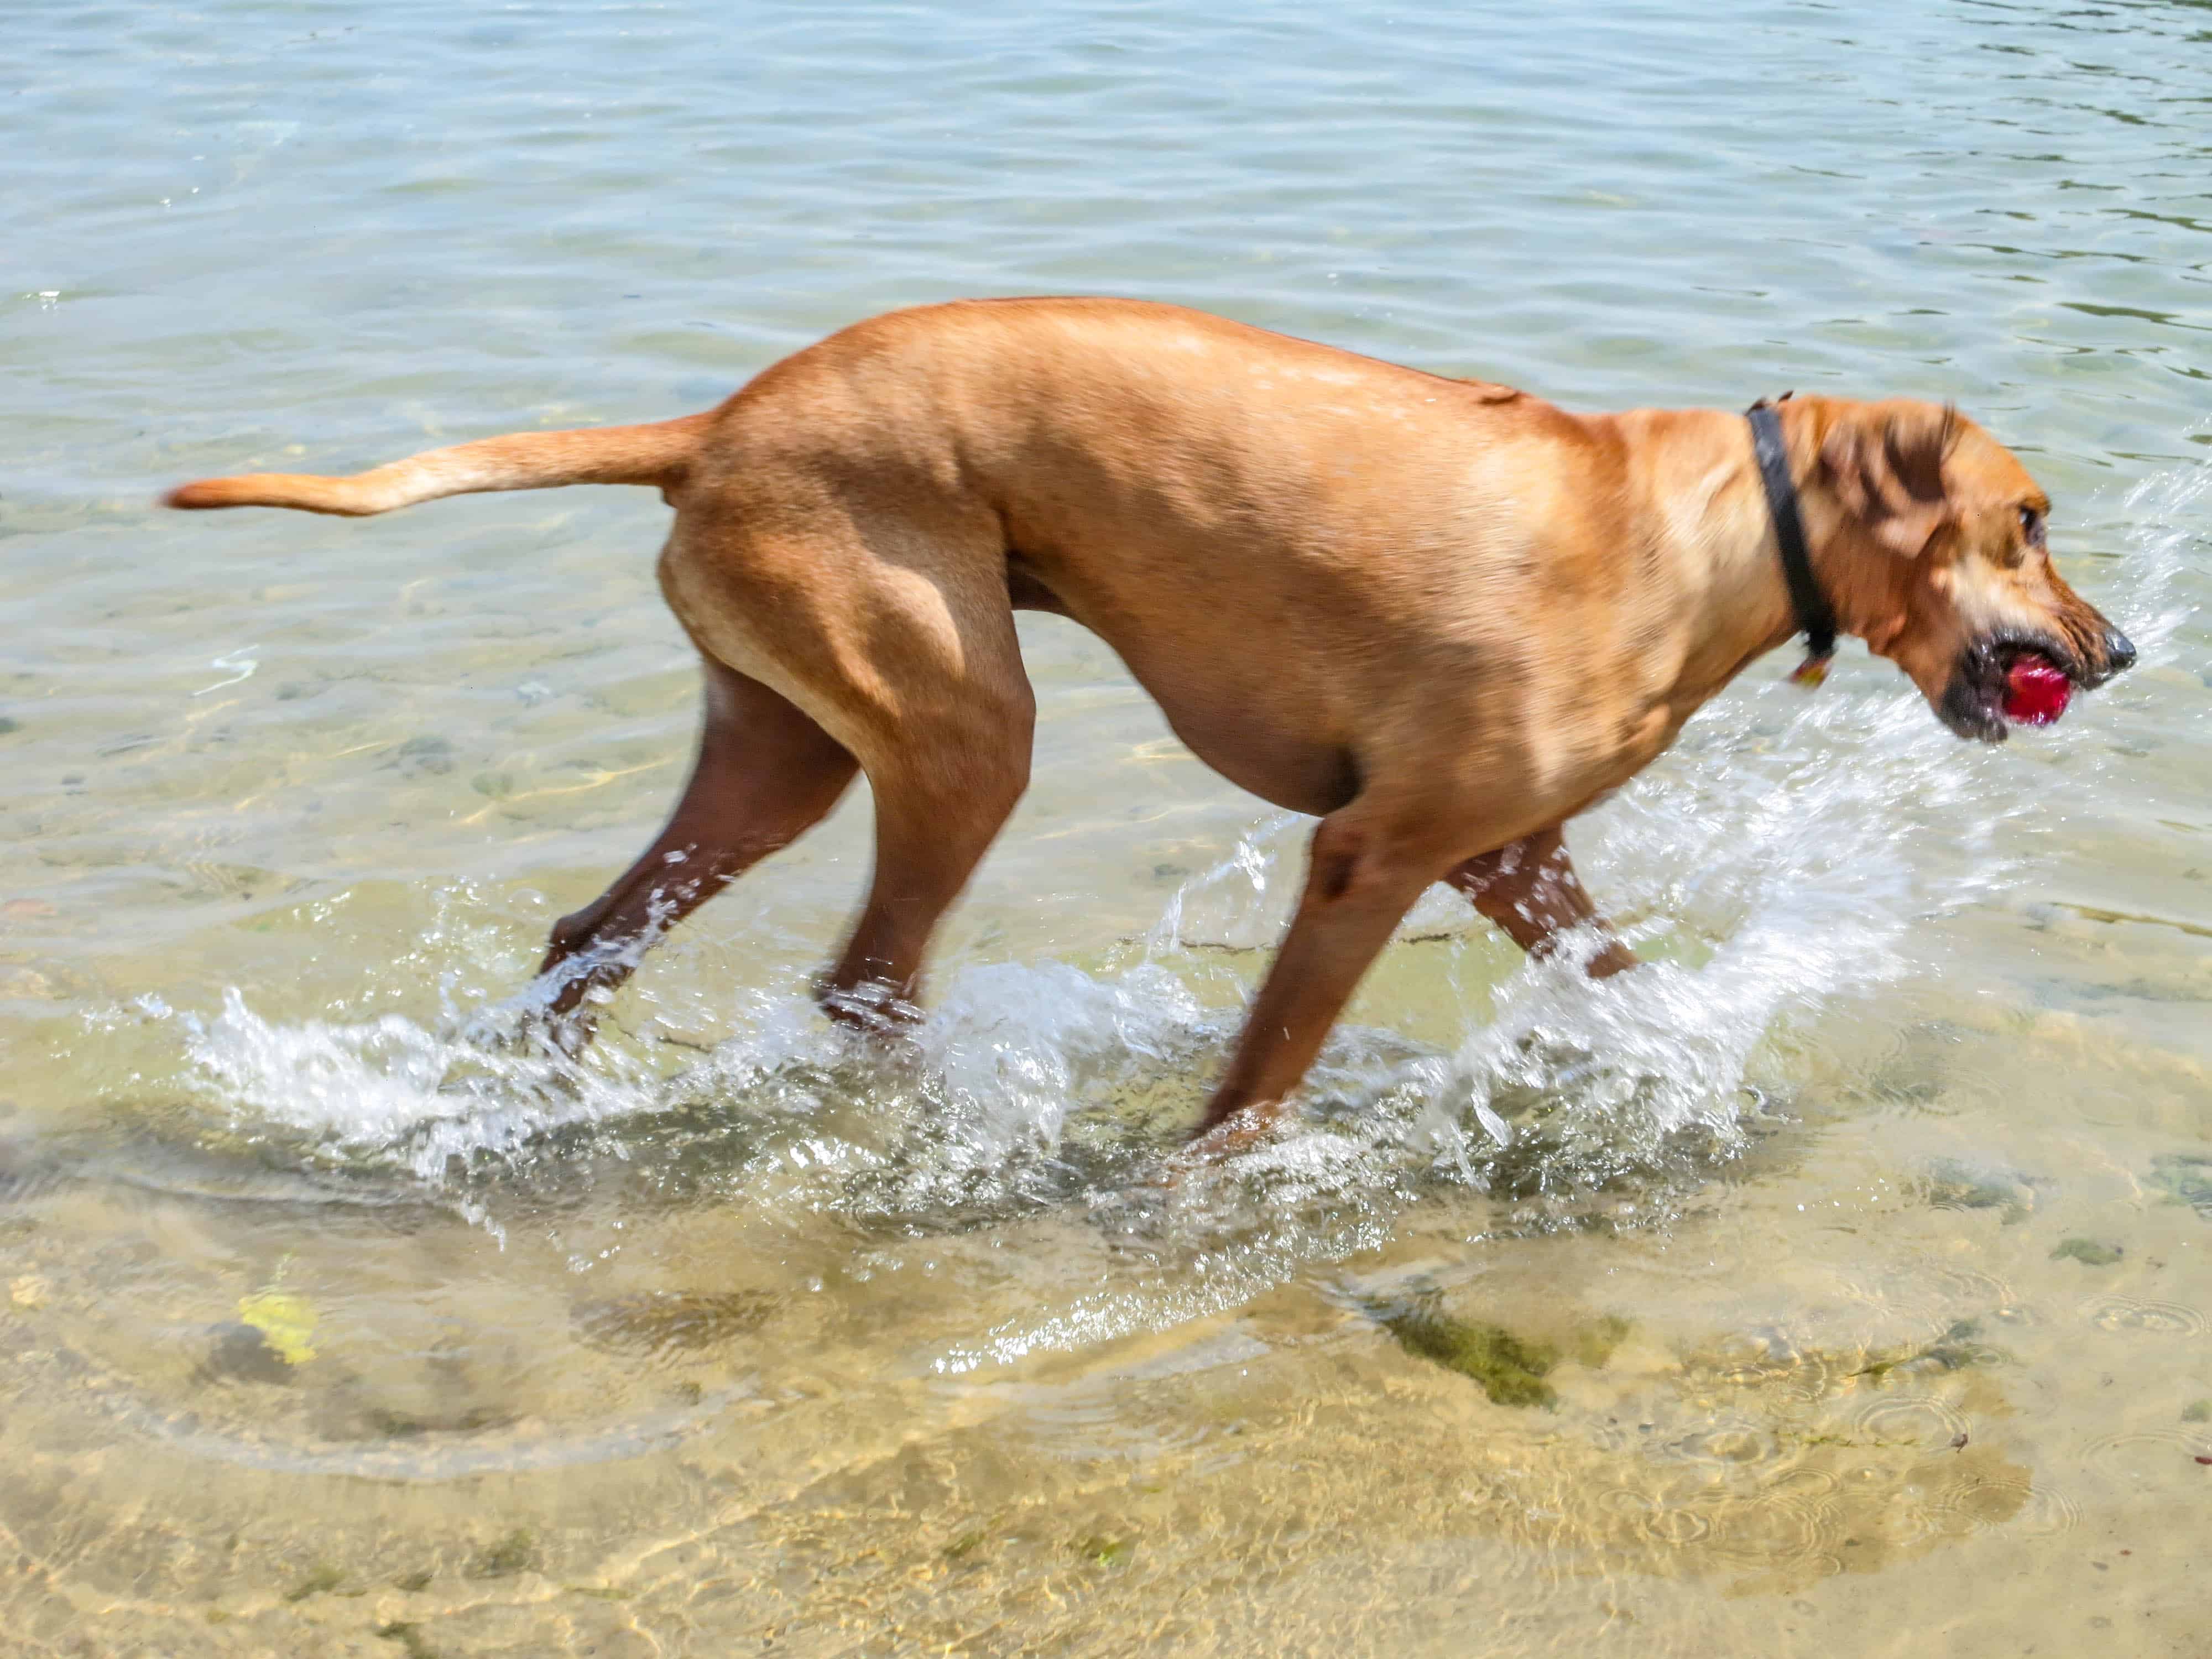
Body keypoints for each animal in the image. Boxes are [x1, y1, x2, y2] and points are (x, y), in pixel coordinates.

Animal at [164, 303, 2132, 1141]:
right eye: (2029, 518)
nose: (2110, 653)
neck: (1705, 528)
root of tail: (714, 423)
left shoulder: (1506, 858)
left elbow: (1630, 989)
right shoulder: (1370, 854)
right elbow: (1261, 1078)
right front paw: (1212, 1185)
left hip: (785, 746)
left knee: (599, 929)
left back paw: (540, 1079)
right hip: (960, 732)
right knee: (863, 977)